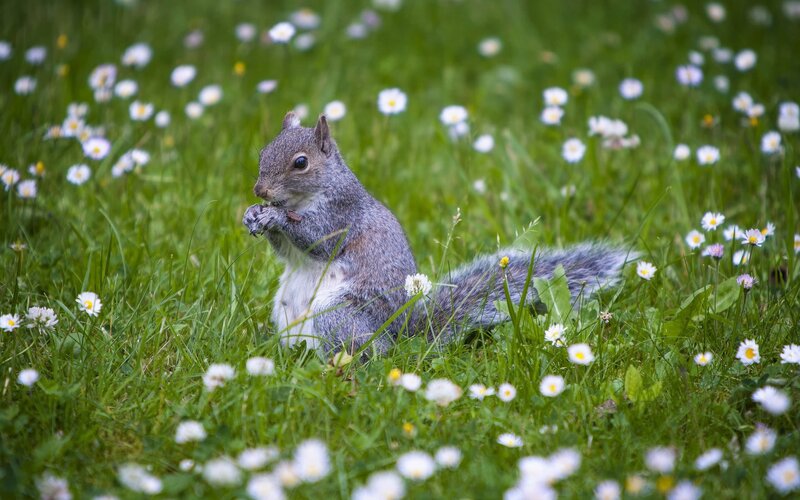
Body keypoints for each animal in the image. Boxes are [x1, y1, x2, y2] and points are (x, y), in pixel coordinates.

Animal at [243, 112, 634, 356]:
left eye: (301, 163)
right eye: (262, 151)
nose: (260, 190)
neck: (303, 198)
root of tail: (397, 338)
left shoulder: (341, 213)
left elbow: (318, 237)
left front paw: (275, 216)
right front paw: (252, 215)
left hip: (337, 316)